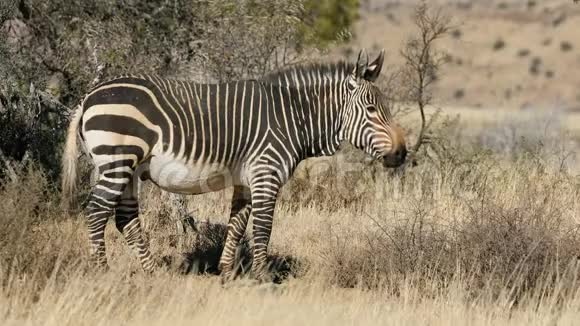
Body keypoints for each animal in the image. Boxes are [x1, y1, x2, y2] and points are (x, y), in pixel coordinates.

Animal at [61, 49, 406, 282]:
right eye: (372, 110)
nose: (402, 154)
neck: (293, 117)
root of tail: (89, 96)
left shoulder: (246, 178)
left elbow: (238, 224)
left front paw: (227, 272)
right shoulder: (267, 172)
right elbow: (263, 227)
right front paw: (264, 278)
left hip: (128, 170)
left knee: (125, 218)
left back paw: (151, 272)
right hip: (118, 160)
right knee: (96, 212)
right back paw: (101, 271)